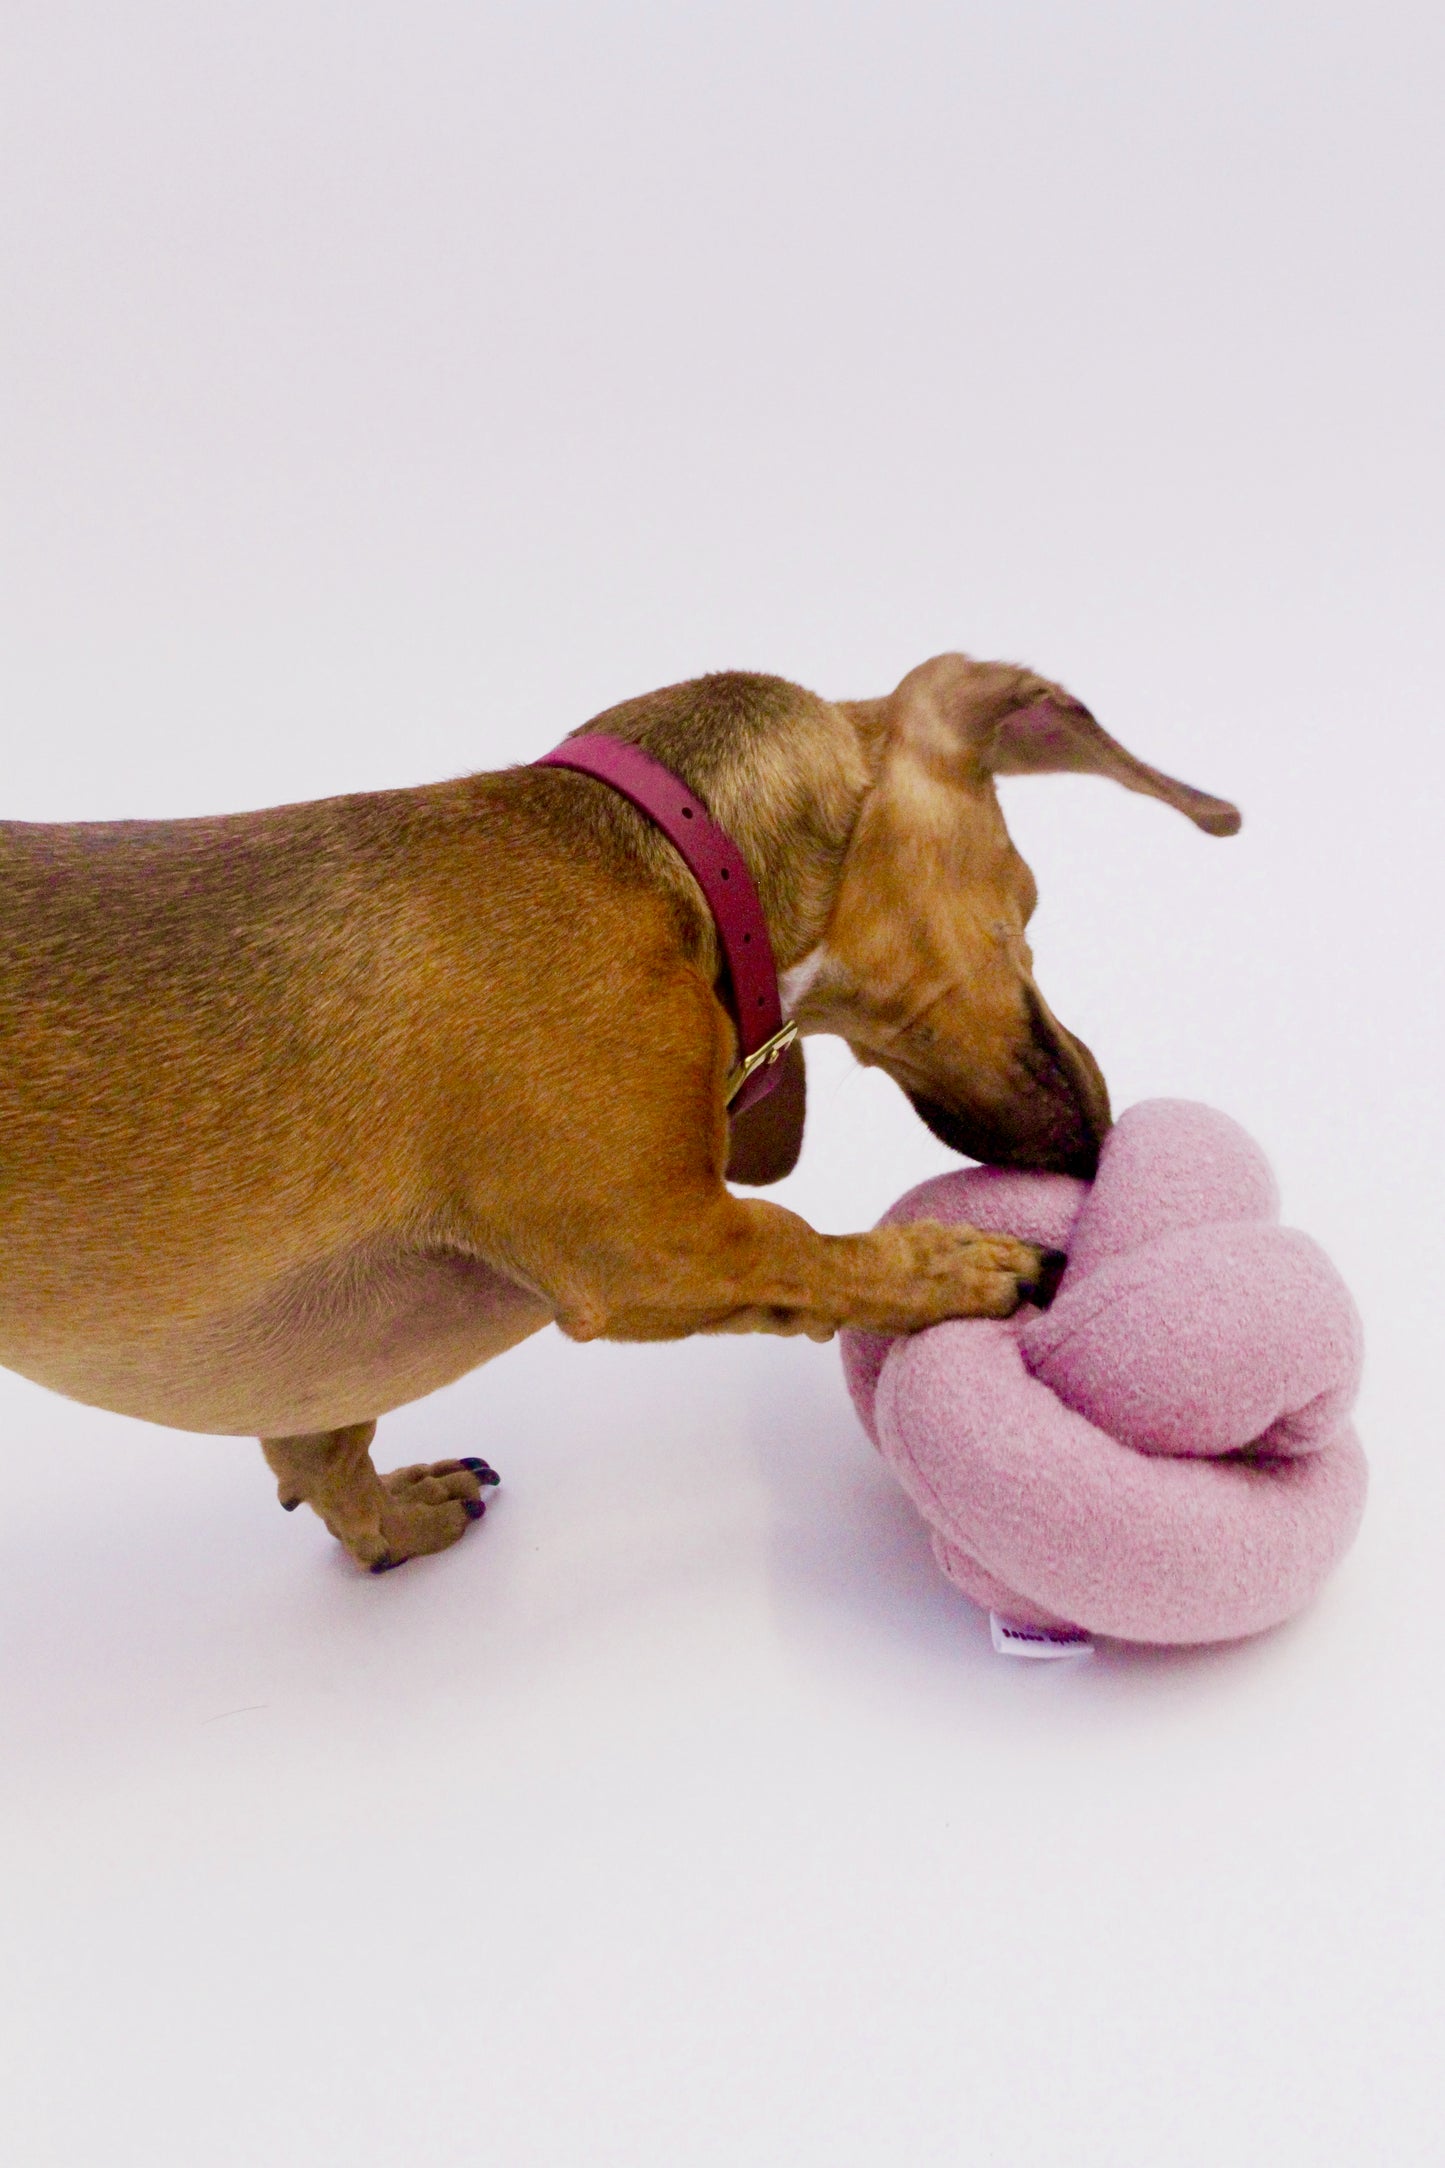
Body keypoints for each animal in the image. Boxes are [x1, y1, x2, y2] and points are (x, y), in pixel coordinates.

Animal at [2, 650, 1247, 1569]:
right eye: (1024, 901)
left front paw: (389, 1521)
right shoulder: (652, 1239)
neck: (664, 859)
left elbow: (321, 1450)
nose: (1102, 1136)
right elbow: (814, 1251)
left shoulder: (325, 1368)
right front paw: (958, 1264)